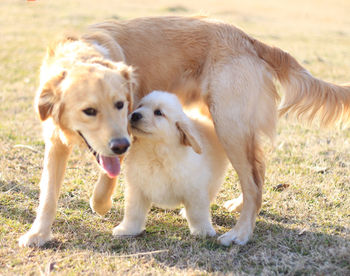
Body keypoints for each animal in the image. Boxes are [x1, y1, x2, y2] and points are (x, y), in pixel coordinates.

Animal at [113, 91, 228, 237]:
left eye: (158, 112)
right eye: (140, 106)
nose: (135, 115)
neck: (156, 154)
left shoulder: (195, 190)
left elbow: (197, 213)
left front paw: (203, 231)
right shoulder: (137, 189)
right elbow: (133, 212)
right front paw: (127, 229)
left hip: (215, 179)